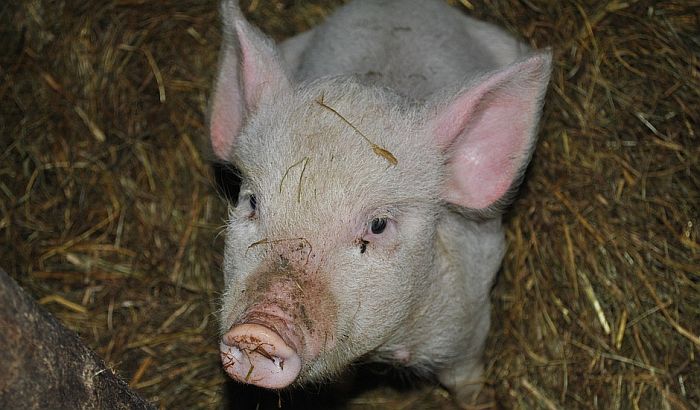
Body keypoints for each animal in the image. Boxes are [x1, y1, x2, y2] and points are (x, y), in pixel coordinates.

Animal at [211, 0, 548, 404]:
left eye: (378, 225)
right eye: (252, 202)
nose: (259, 329)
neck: (384, 348)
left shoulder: (469, 324)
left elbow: (466, 381)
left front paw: (481, 401)